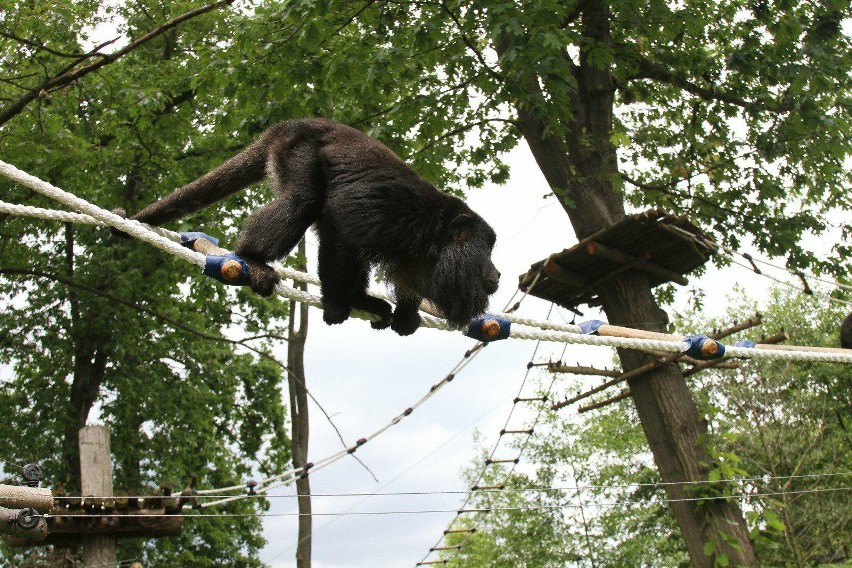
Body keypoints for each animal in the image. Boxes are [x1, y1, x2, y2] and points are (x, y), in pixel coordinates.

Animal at [125, 117, 500, 336]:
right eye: (486, 251)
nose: (497, 274)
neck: (435, 230)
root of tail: (291, 124)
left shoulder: (420, 252)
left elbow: (412, 276)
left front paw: (406, 314)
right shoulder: (393, 211)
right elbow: (338, 227)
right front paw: (335, 301)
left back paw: (362, 299)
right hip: (298, 150)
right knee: (305, 200)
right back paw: (253, 259)